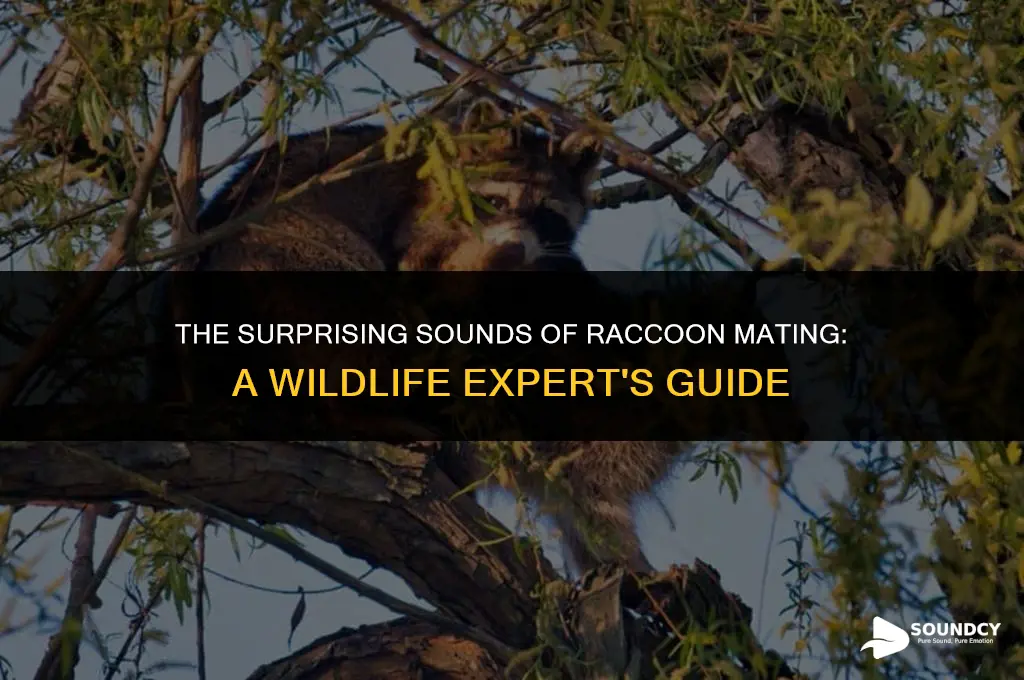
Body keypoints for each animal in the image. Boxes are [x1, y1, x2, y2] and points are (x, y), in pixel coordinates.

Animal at [156, 97, 683, 575]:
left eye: (547, 212)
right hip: (282, 250)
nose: (513, 249)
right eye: (496, 201)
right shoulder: (422, 221)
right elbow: (429, 278)